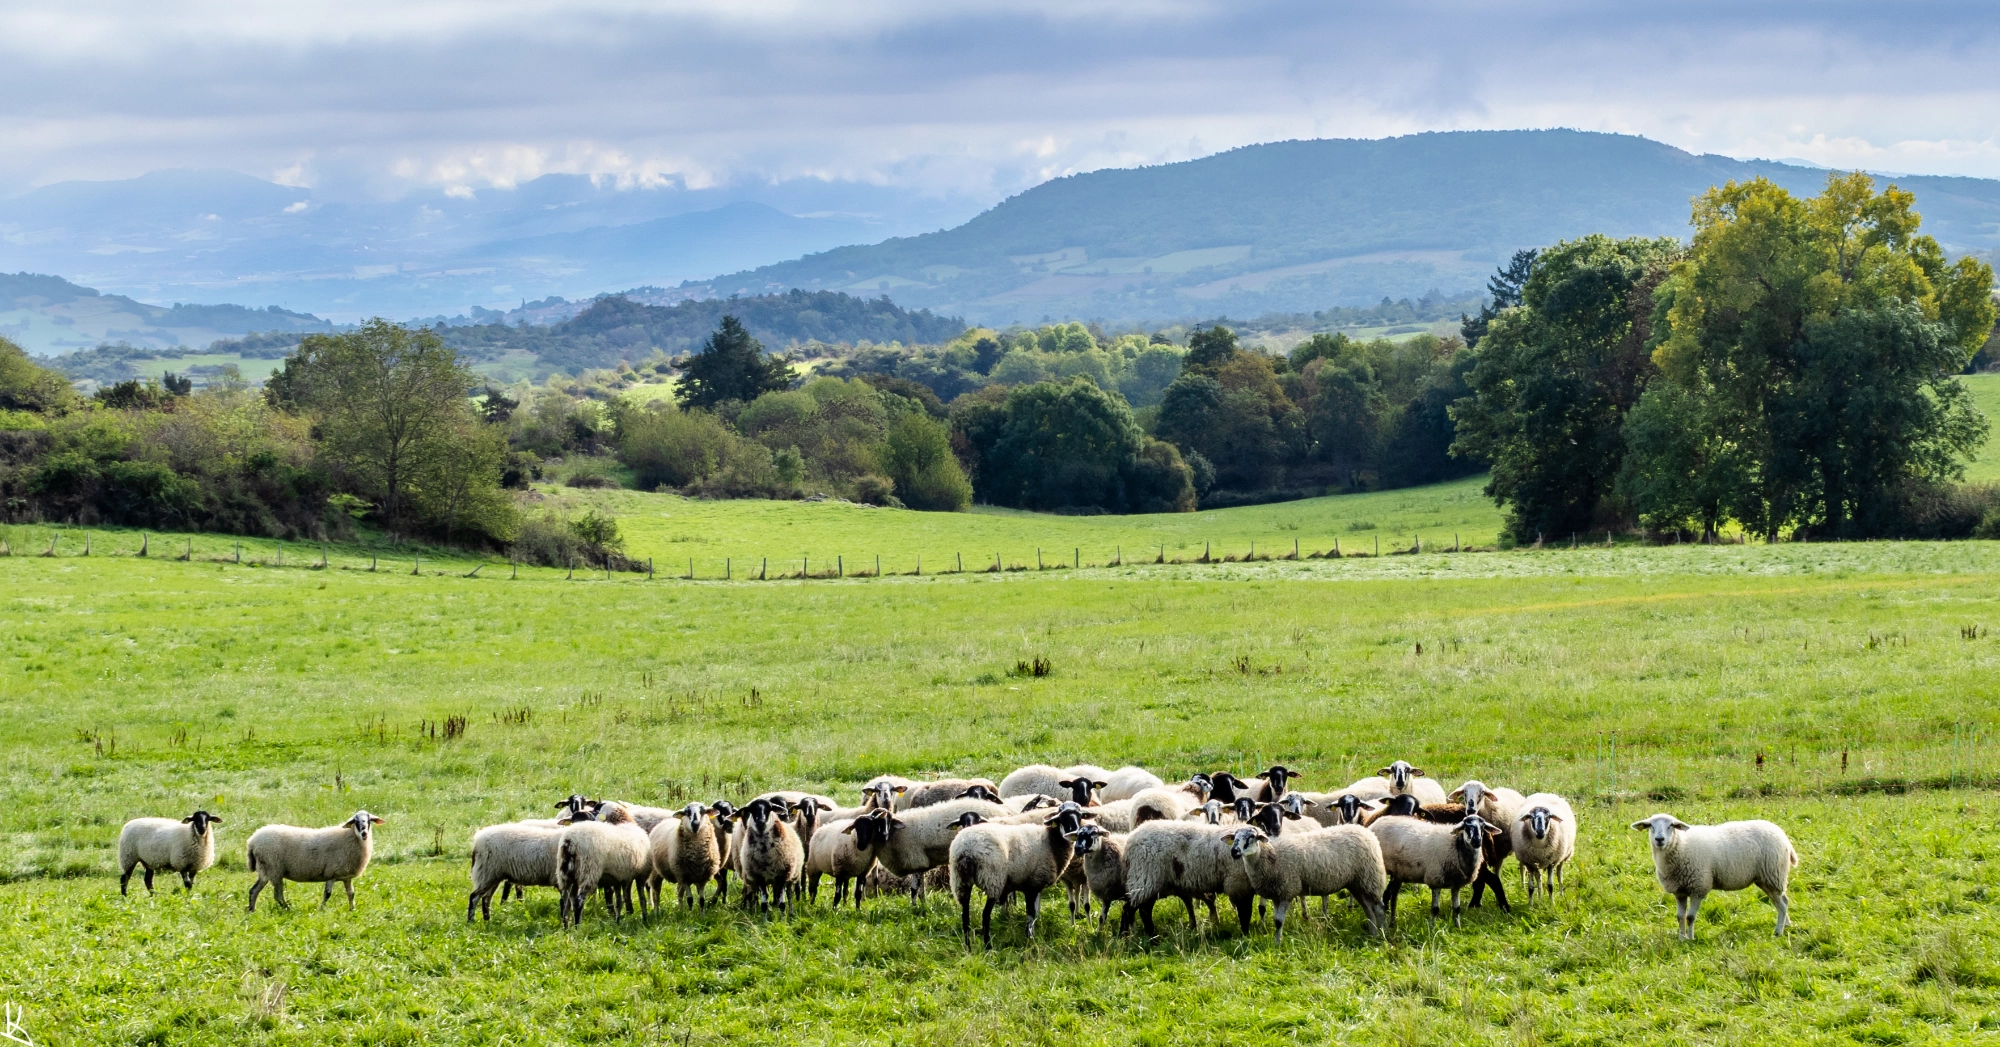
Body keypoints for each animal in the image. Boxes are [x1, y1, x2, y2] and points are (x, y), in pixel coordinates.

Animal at [246, 810, 382, 913]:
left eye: (369, 820)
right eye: (355, 821)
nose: (364, 833)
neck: (349, 837)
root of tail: (252, 841)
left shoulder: (346, 876)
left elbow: (351, 893)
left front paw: (352, 909)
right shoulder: (331, 873)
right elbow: (327, 894)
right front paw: (321, 909)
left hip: (265, 870)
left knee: (254, 890)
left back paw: (252, 910)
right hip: (274, 869)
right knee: (278, 896)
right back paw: (288, 909)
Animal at [949, 801, 1092, 948]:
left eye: (1080, 816)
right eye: (1061, 818)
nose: (1073, 831)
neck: (1051, 842)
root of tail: (967, 848)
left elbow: (1033, 913)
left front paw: (1030, 934)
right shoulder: (1033, 885)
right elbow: (1031, 914)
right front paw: (1030, 938)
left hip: (960, 880)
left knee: (965, 915)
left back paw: (968, 947)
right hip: (992, 880)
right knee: (985, 915)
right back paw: (988, 946)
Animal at [1118, 819, 1255, 937]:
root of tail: (1130, 840)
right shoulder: (1240, 884)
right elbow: (1245, 912)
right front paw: (1245, 935)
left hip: (1151, 882)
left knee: (1140, 910)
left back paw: (1132, 936)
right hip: (1146, 878)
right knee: (1132, 910)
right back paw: (1142, 938)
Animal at [1228, 825, 1388, 941]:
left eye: (1251, 837)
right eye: (1234, 838)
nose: (1234, 851)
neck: (1271, 856)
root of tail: (1367, 832)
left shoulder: (1287, 890)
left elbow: (1279, 921)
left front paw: (1277, 944)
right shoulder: (1276, 894)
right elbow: (1276, 920)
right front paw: (1276, 941)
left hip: (1370, 879)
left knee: (1379, 909)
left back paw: (1384, 935)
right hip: (1357, 883)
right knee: (1368, 909)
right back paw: (1373, 934)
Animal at [1630, 813, 1796, 939]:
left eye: (1671, 825)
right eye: (1650, 826)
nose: (1659, 839)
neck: (1681, 846)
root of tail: (1782, 835)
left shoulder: (1699, 887)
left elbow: (1690, 917)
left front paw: (1690, 939)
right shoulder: (1680, 891)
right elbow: (1680, 917)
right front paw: (1681, 938)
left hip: (1773, 874)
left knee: (1782, 904)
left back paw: (1778, 932)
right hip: (1766, 879)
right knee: (1782, 901)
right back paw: (1787, 925)